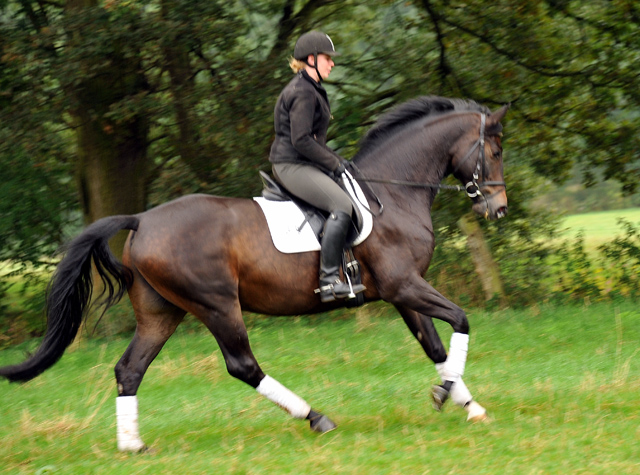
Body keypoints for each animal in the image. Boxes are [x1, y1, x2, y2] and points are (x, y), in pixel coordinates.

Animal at [0, 95, 510, 452]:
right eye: (496, 150)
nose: (498, 209)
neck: (393, 193)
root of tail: (142, 219)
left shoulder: (402, 292)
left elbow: (435, 345)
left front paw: (469, 405)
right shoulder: (404, 285)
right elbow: (461, 320)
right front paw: (447, 394)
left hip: (162, 313)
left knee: (130, 369)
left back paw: (133, 445)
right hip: (217, 305)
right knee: (242, 365)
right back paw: (316, 417)